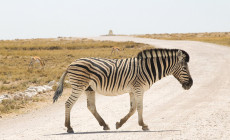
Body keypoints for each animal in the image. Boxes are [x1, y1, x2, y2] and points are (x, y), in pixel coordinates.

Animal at [53, 48, 192, 132]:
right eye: (185, 68)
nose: (190, 84)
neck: (148, 69)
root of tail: (70, 64)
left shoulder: (133, 90)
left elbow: (133, 109)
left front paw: (119, 124)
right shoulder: (138, 88)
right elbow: (140, 107)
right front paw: (144, 125)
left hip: (89, 88)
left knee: (91, 106)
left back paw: (104, 125)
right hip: (79, 85)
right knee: (68, 103)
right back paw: (69, 127)